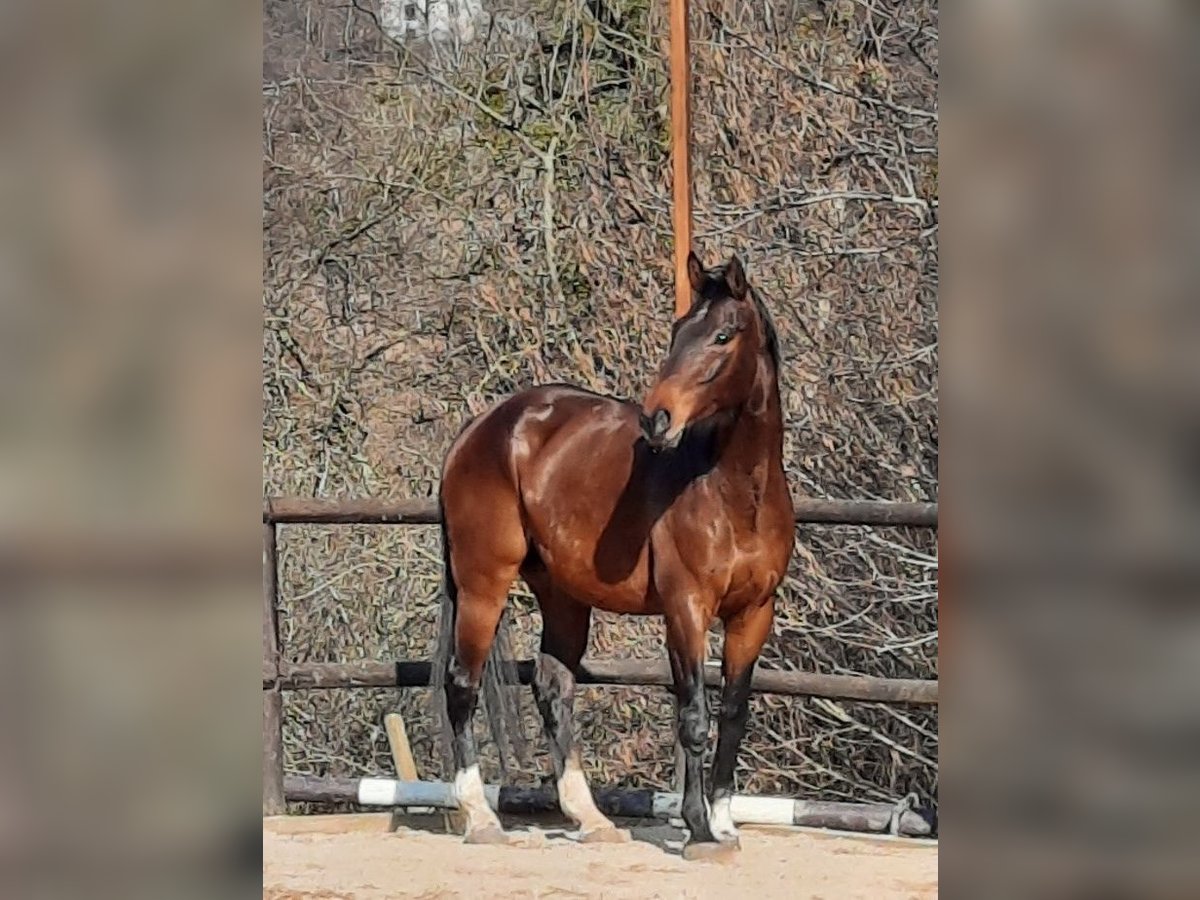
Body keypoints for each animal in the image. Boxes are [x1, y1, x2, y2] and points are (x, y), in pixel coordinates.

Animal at [434, 252, 796, 859]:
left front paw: (724, 825)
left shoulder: (754, 614)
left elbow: (733, 715)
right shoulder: (686, 610)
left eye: (722, 335)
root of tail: (481, 427)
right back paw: (481, 818)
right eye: (678, 332)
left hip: (562, 595)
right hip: (483, 584)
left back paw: (592, 819)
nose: (657, 420)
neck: (733, 491)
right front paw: (699, 829)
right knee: (462, 683)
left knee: (553, 686)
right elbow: (693, 716)